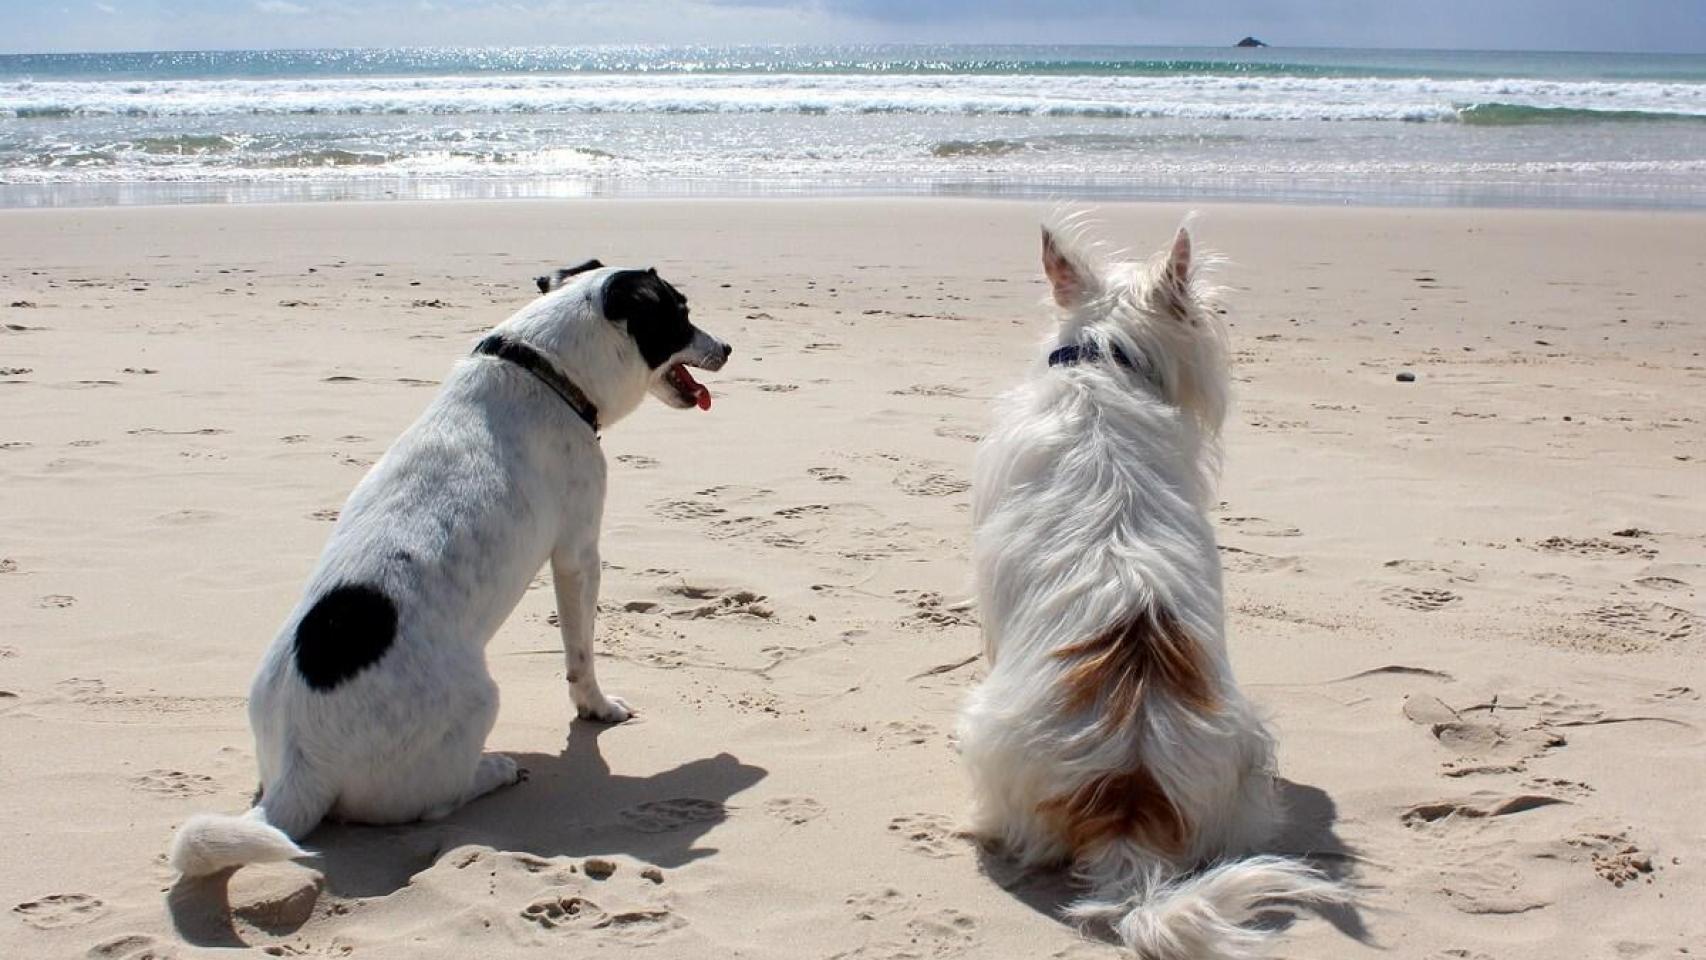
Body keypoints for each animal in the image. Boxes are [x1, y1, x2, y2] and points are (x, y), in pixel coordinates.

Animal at [169, 262, 730, 879]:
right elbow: (581, 656)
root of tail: (301, 767)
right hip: (480, 700)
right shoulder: (578, 554)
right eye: (680, 313)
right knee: (436, 801)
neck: (543, 368)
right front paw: (598, 708)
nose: (728, 348)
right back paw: (495, 770)